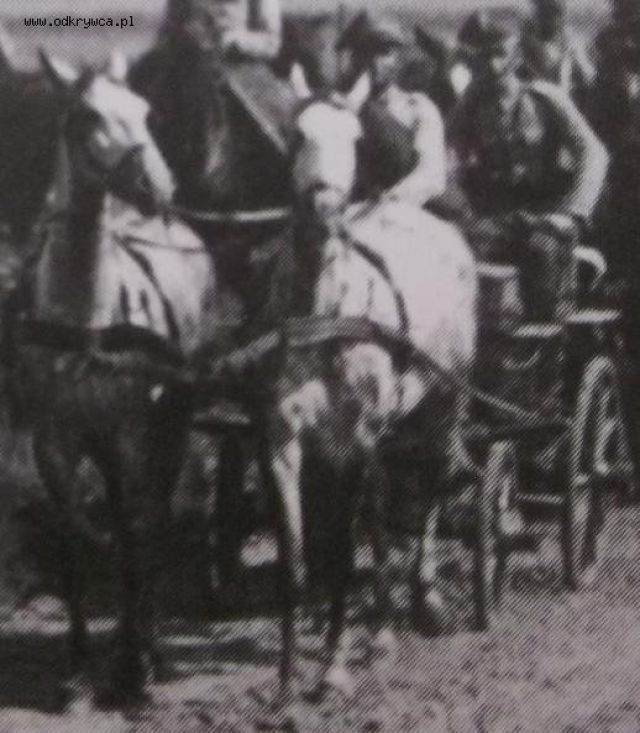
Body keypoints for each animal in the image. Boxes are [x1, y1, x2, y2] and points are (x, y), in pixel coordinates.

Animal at [6, 49, 215, 707]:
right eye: (88, 116)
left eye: (145, 110)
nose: (159, 189)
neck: (87, 319)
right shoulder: (55, 442)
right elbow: (72, 539)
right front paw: (76, 667)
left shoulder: (132, 436)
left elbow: (131, 534)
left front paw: (135, 667)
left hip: (168, 428)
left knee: (151, 519)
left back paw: (147, 643)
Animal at [255, 68, 478, 705]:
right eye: (297, 132)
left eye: (355, 138)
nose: (327, 215)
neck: (325, 315)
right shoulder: (283, 438)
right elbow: (298, 560)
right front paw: (286, 678)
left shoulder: (353, 442)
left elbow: (343, 554)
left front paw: (331, 669)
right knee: (381, 504)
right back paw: (378, 628)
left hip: (447, 400)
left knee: (432, 484)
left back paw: (424, 597)